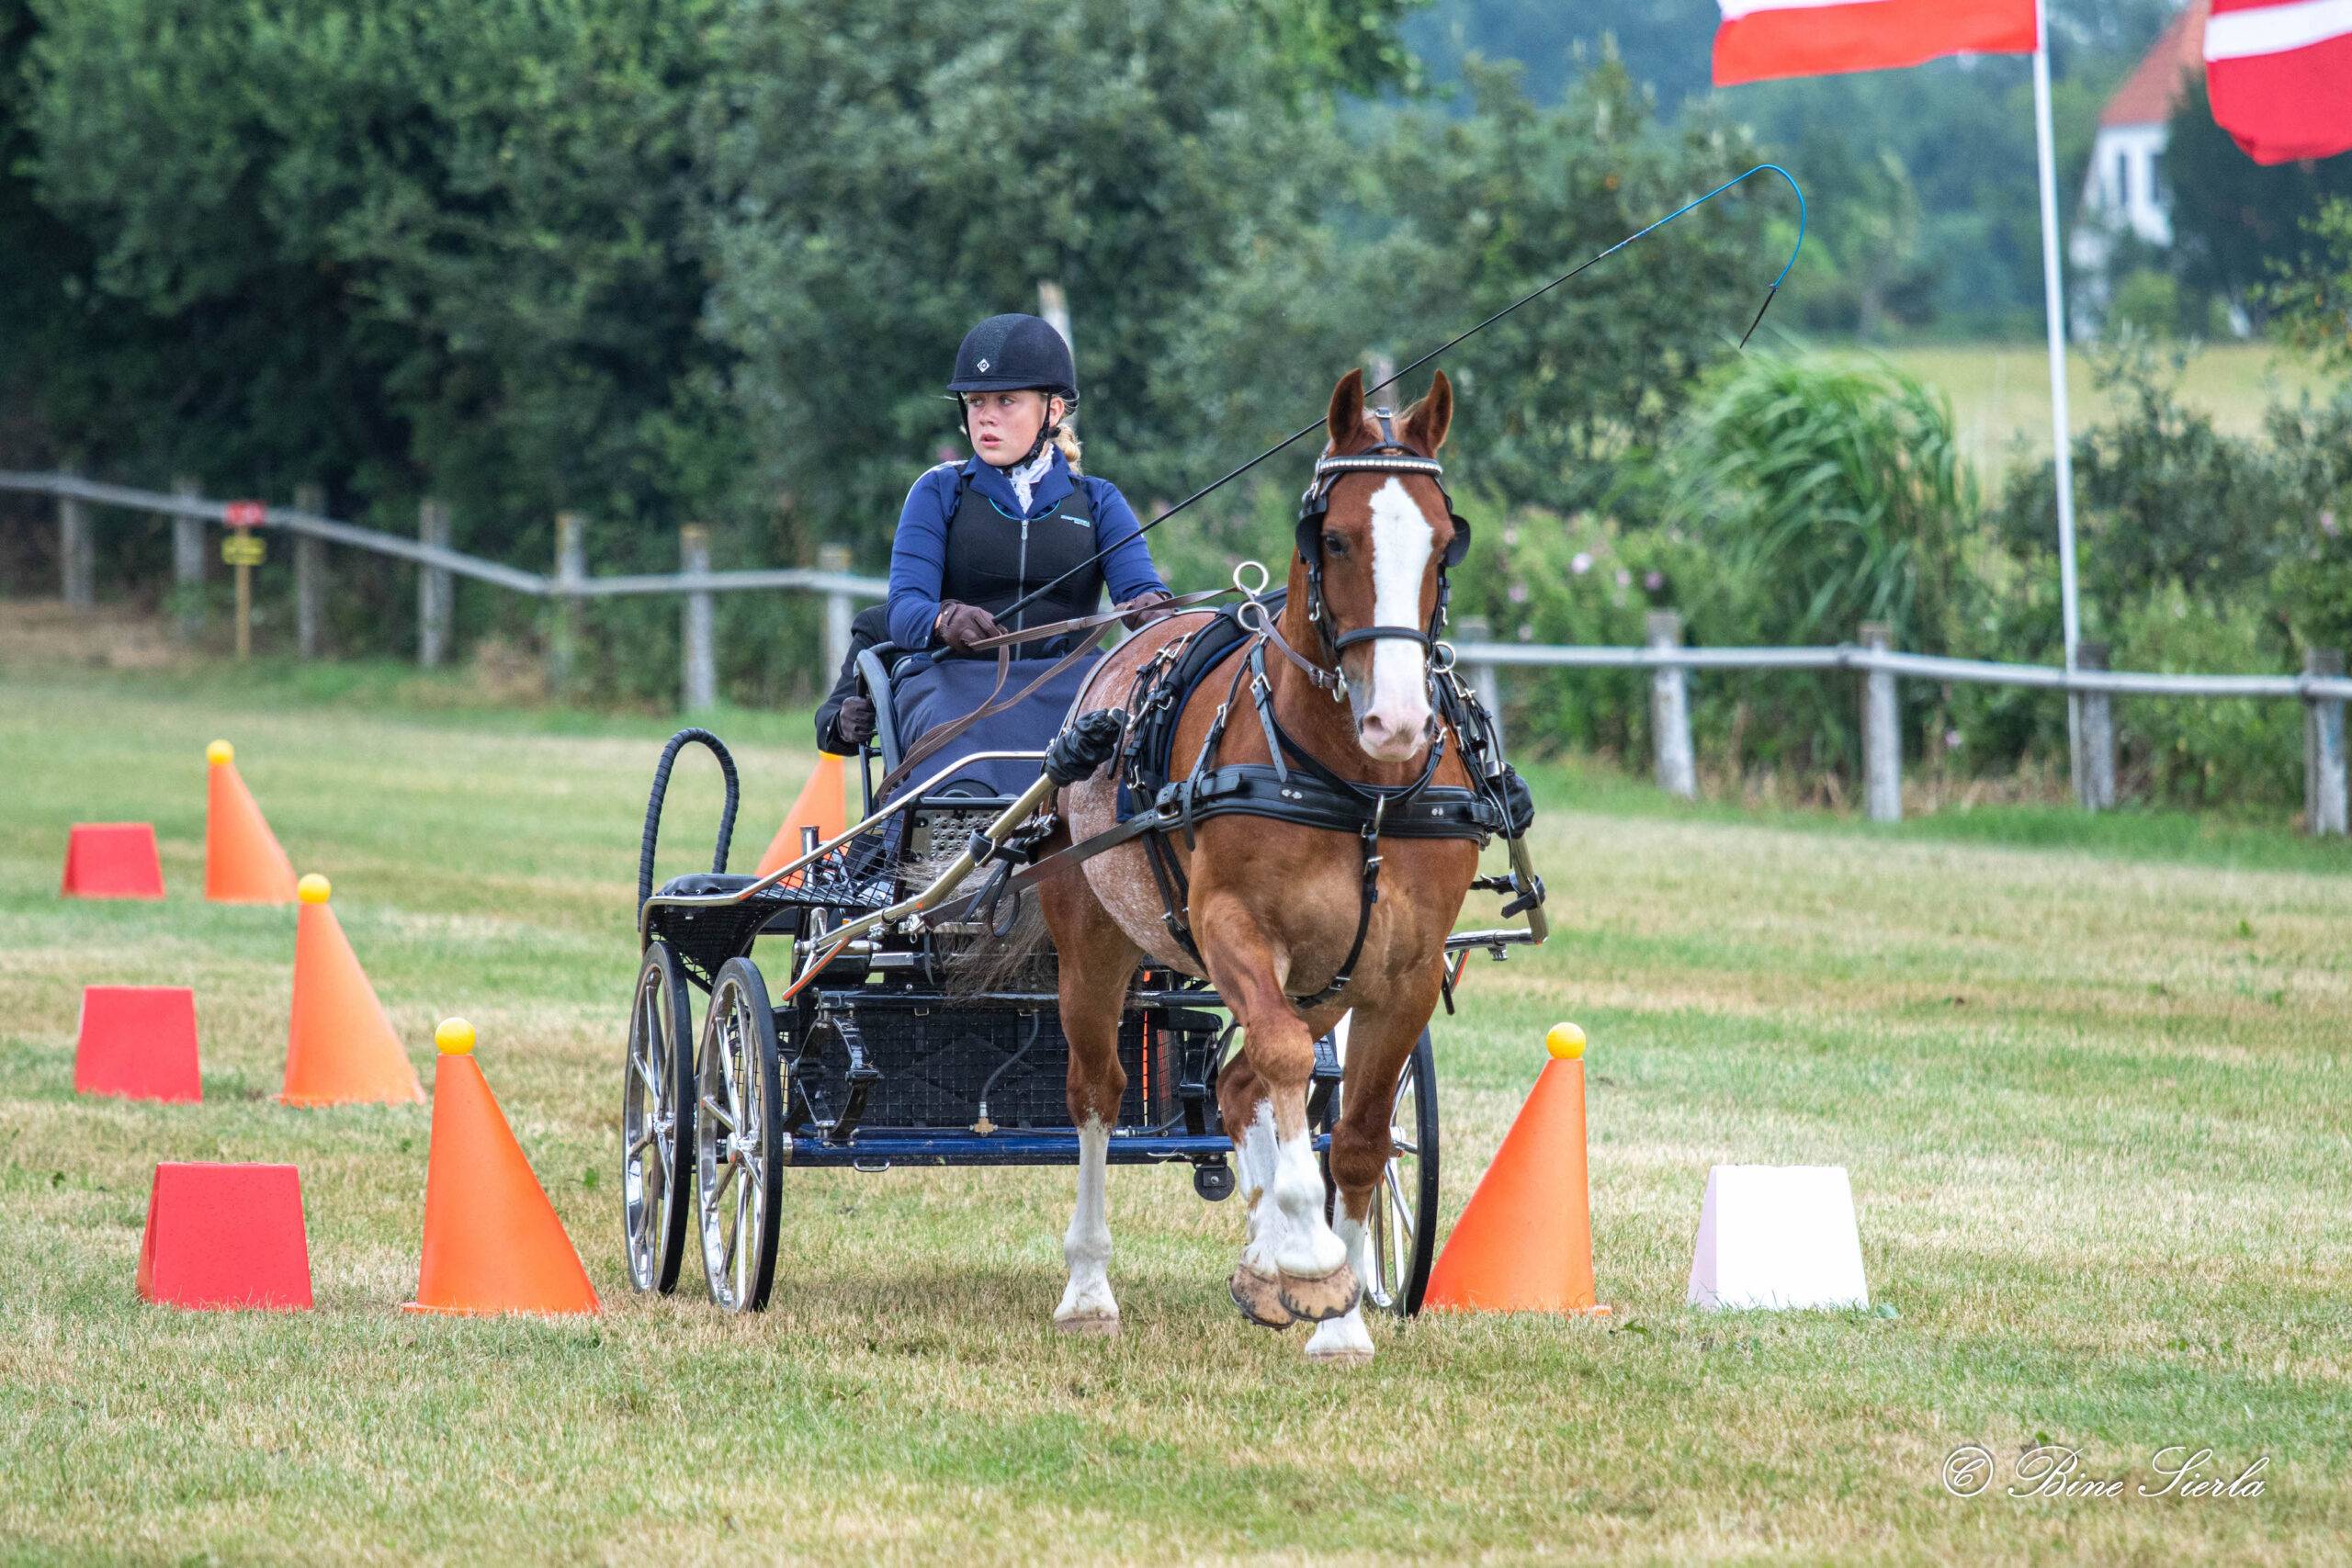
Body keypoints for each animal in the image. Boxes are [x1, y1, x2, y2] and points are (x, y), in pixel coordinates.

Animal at [1044, 368, 1476, 1363]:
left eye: (1445, 540)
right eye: (1336, 536)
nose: (1399, 720)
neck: (1360, 789)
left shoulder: (1403, 970)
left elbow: (1357, 1134)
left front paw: (1337, 1314)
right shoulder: (1232, 927)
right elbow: (1281, 1062)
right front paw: (1311, 1251)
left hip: (1324, 979)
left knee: (1243, 1086)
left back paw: (1265, 1260)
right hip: (1095, 945)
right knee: (1099, 1093)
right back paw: (1090, 1285)